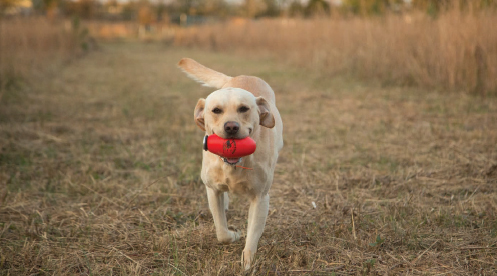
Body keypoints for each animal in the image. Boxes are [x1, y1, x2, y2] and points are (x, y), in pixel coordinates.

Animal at [177, 58, 282, 270]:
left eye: (244, 109)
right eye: (216, 110)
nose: (231, 127)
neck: (233, 165)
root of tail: (240, 76)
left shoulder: (261, 198)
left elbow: (253, 234)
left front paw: (248, 262)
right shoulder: (212, 190)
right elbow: (221, 232)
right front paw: (233, 235)